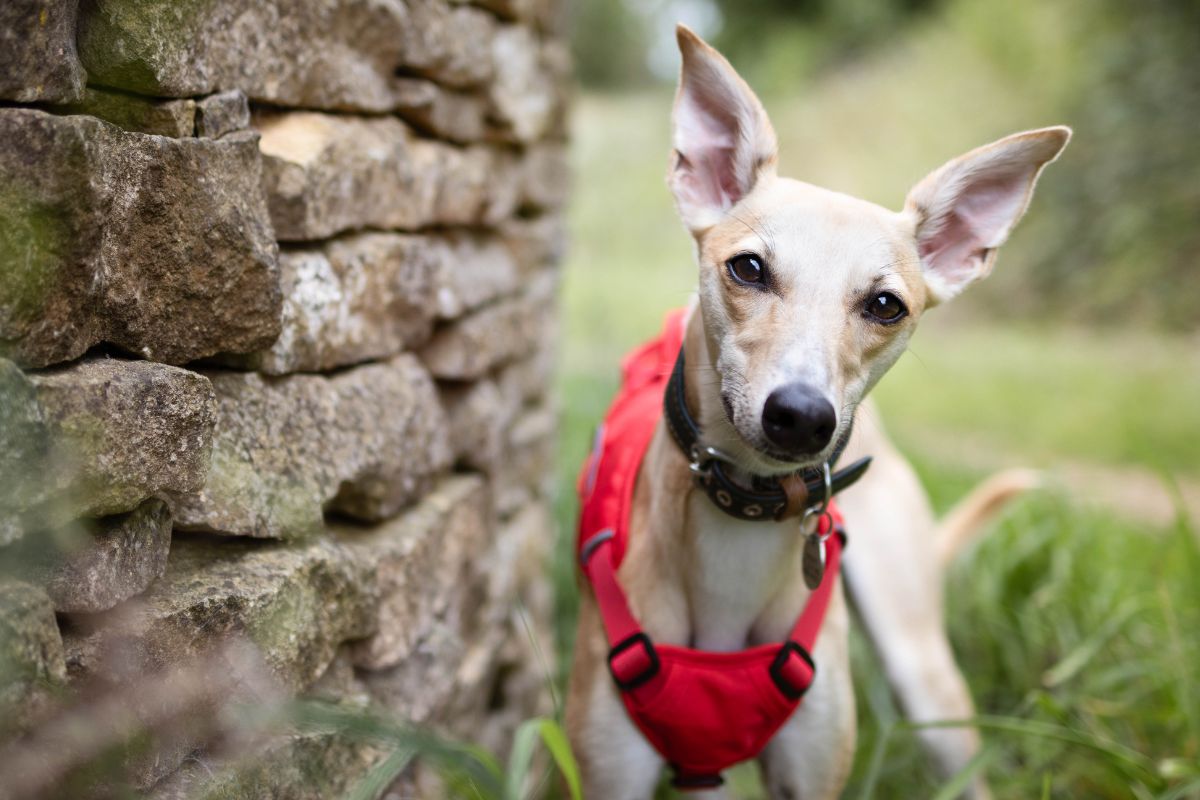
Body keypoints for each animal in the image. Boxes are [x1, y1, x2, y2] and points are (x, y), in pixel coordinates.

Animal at [564, 25, 1070, 800]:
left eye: (885, 305)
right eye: (747, 267)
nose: (803, 416)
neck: (737, 532)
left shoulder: (811, 771)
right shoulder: (611, 773)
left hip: (924, 672)